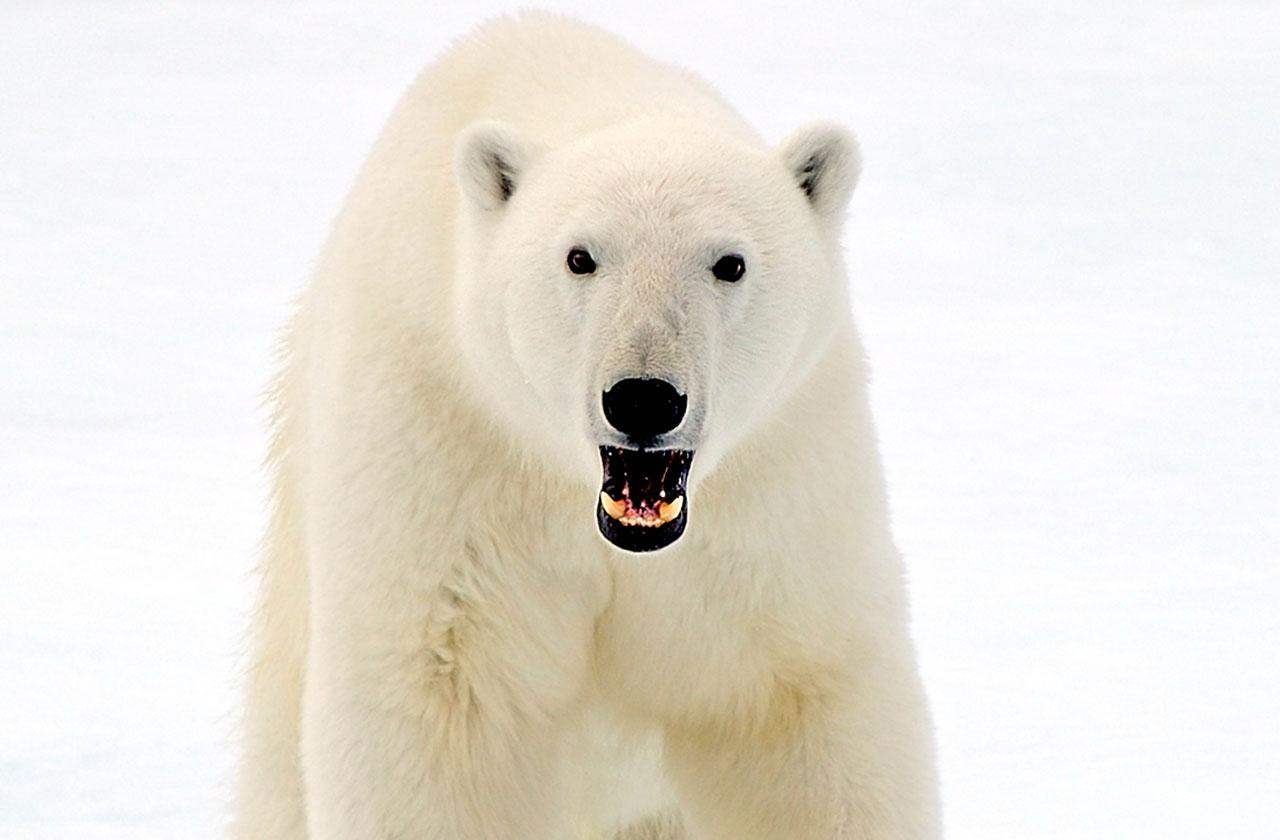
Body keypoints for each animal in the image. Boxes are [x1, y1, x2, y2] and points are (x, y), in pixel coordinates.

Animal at [232, 13, 942, 840]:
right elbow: (438, 707)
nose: (643, 398)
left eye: (729, 262)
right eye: (580, 257)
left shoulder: (779, 485)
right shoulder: (444, 441)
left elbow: (797, 706)